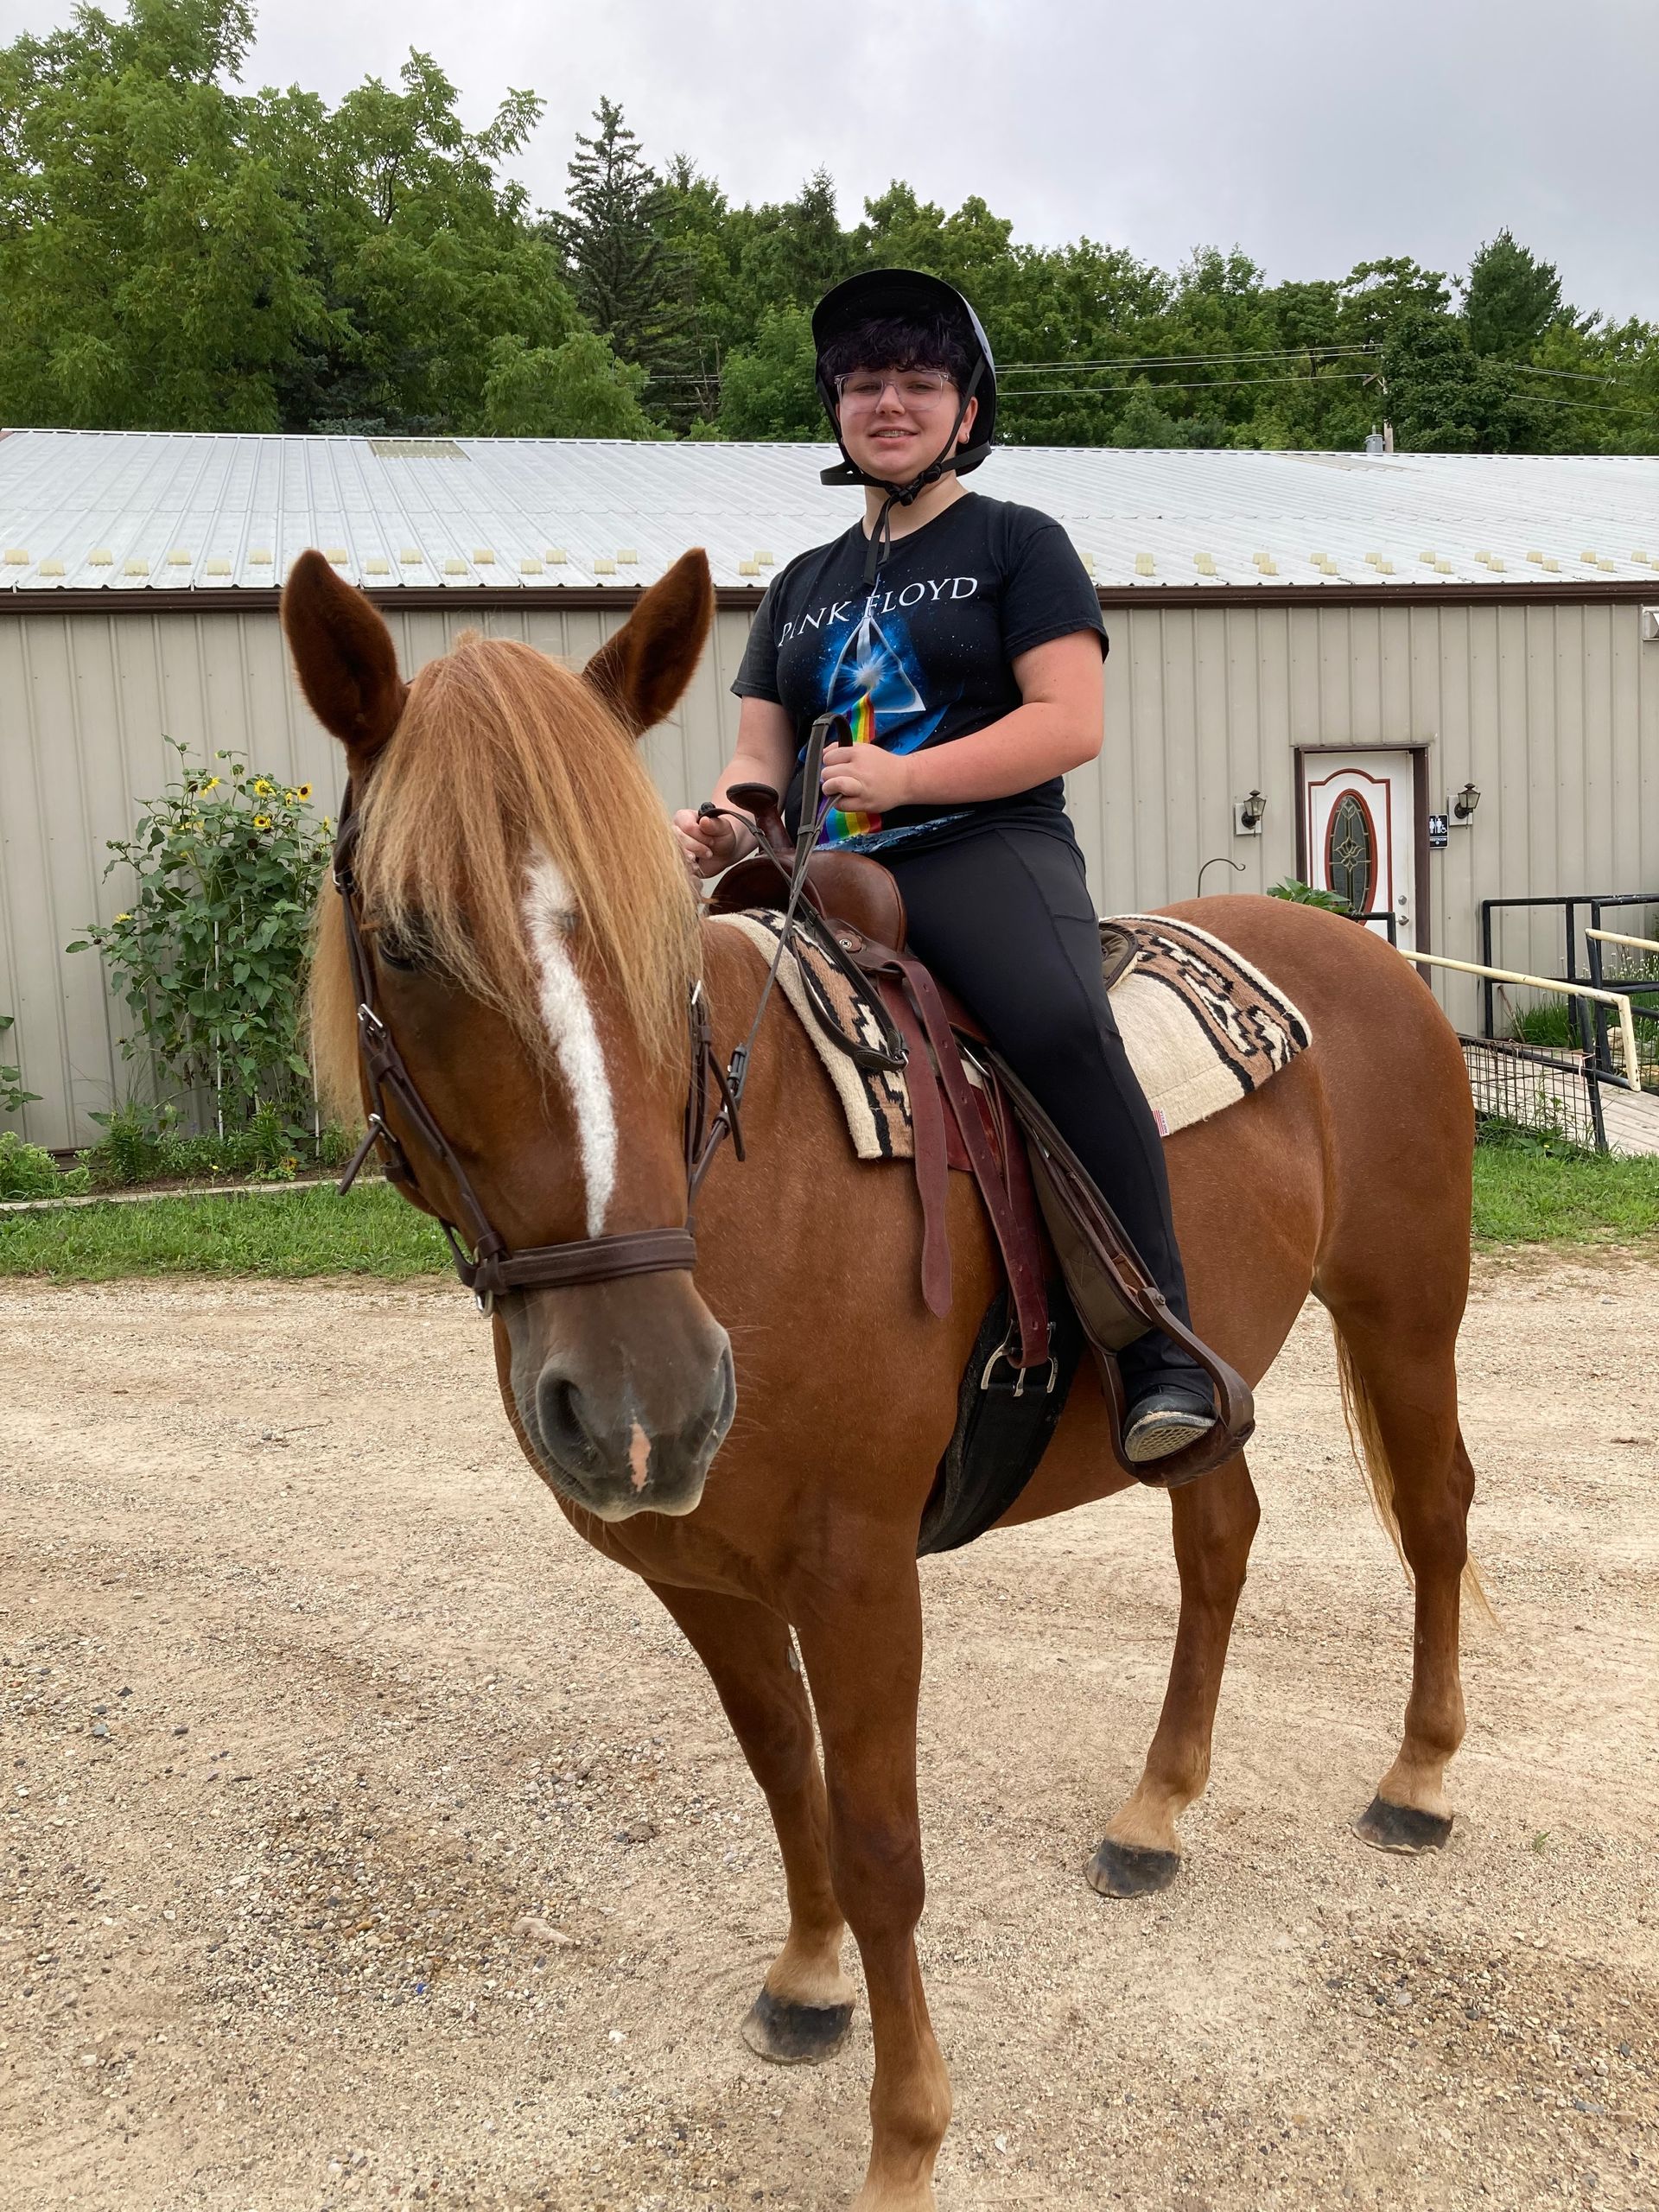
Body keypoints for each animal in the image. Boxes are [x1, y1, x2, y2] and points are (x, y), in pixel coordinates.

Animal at [284, 545, 1481, 2212]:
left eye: (666, 951)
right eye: (404, 942)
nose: (647, 1404)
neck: (741, 1200)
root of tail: (1364, 946)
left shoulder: (859, 1575)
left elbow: (881, 1845)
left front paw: (907, 2138)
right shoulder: (699, 1572)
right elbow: (785, 1780)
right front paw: (805, 1984)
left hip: (1405, 1314)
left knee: (1433, 1516)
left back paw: (1417, 1781)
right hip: (1209, 1377)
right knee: (1220, 1540)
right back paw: (1156, 1812)